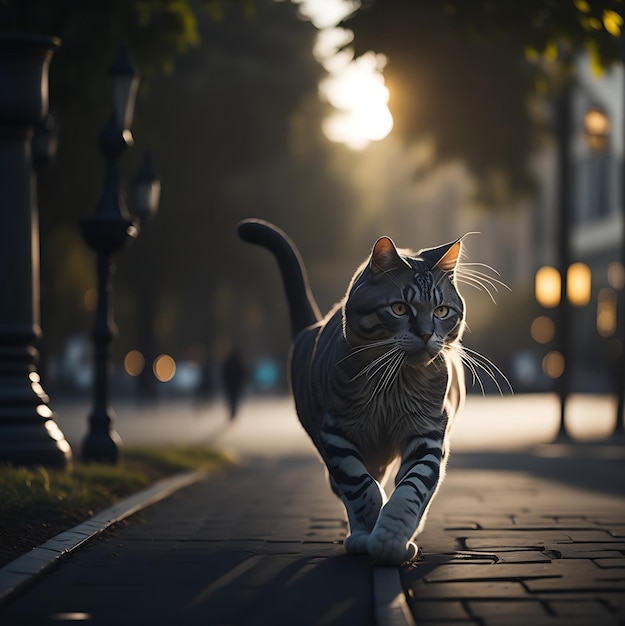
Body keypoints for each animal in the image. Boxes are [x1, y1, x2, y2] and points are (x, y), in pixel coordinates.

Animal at [240, 217, 468, 564]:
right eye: (400, 308)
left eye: (441, 311)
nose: (427, 334)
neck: (393, 383)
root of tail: (313, 327)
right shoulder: (336, 434)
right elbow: (361, 488)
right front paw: (371, 528)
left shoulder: (428, 433)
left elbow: (411, 488)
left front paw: (390, 537)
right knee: (348, 486)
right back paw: (360, 535)